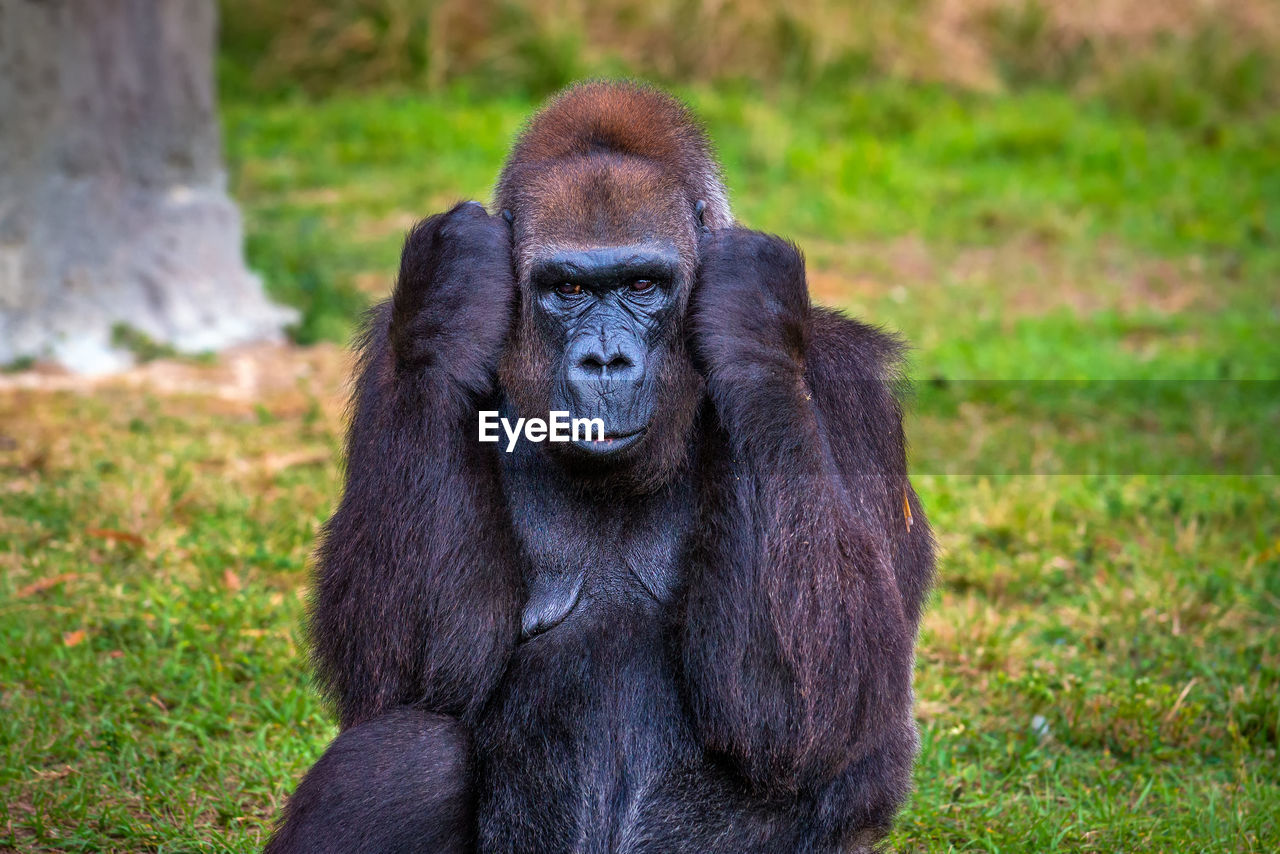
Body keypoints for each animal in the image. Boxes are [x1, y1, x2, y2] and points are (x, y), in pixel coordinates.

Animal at [267, 81, 931, 854]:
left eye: (643, 284)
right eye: (569, 290)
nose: (605, 360)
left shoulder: (848, 383)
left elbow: (820, 716)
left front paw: (754, 326)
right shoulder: (388, 356)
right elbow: (408, 671)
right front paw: (448, 299)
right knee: (409, 749)